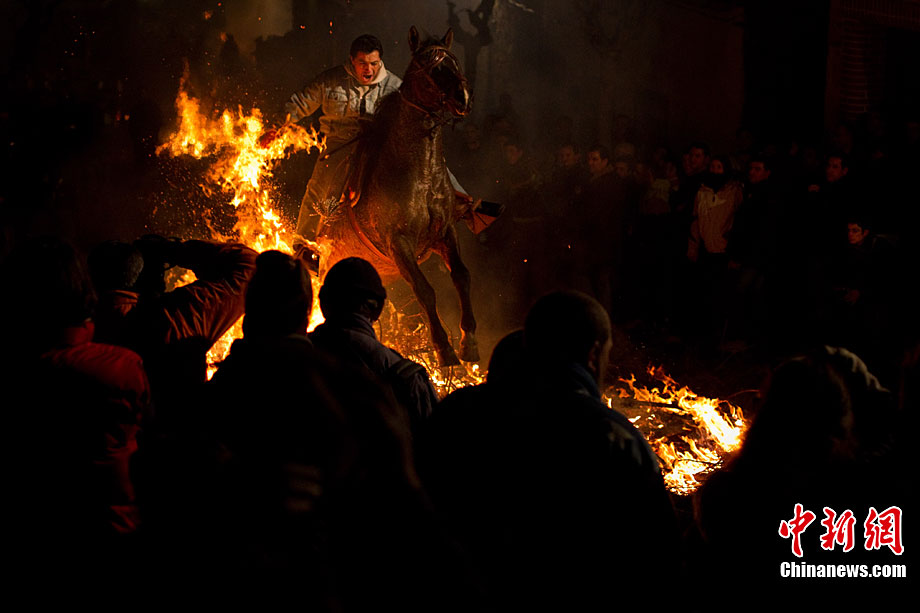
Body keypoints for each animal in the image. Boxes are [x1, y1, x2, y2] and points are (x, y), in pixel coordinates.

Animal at [318, 26, 478, 366]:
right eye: (427, 65)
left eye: (453, 60)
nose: (463, 97)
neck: (420, 176)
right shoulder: (398, 243)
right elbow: (425, 289)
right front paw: (444, 349)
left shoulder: (445, 233)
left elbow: (462, 276)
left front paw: (468, 341)